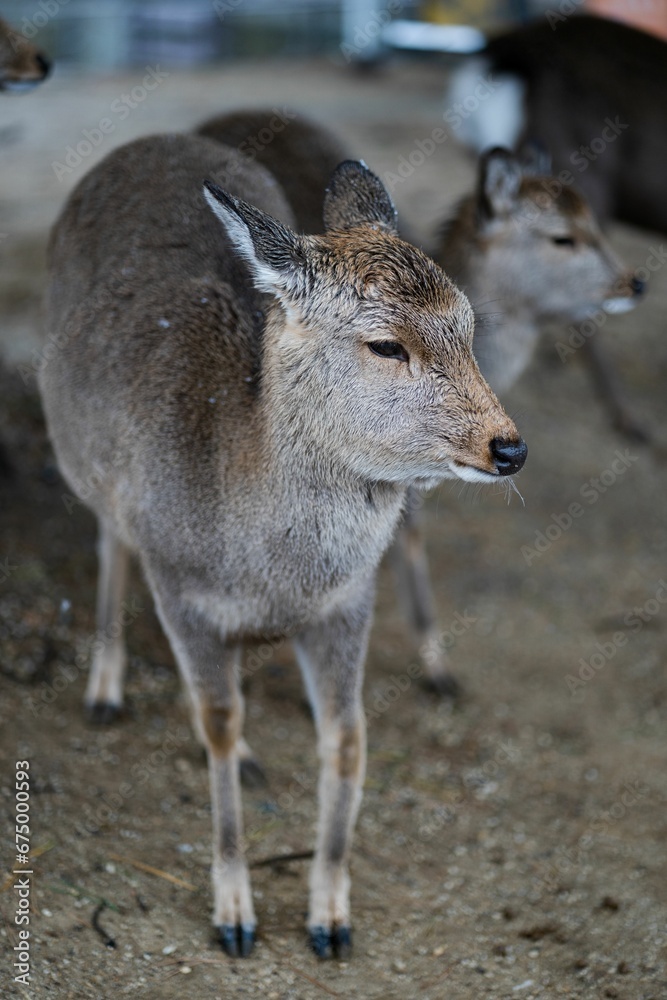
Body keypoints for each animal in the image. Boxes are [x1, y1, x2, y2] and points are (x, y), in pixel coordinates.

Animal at [38, 131, 526, 958]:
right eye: (385, 345)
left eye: (466, 325)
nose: (507, 447)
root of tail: (154, 140)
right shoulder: (180, 589)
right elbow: (218, 721)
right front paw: (233, 914)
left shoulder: (347, 603)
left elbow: (347, 738)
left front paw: (329, 916)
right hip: (93, 469)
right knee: (110, 541)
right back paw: (105, 689)